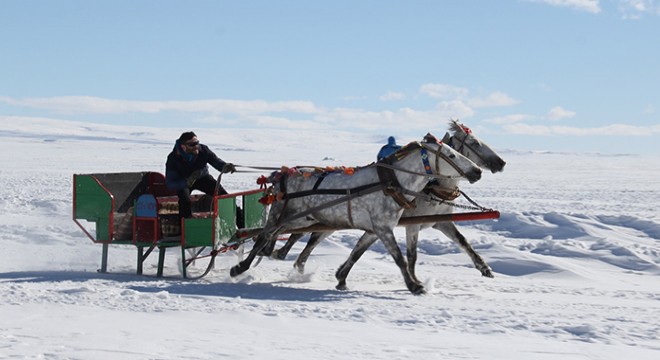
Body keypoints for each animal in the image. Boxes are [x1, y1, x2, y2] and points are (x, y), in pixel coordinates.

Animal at [229, 136, 482, 294]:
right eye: (451, 154)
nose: (478, 171)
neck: (391, 183)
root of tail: (282, 174)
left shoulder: (375, 229)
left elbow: (358, 252)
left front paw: (341, 278)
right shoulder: (383, 228)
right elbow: (399, 258)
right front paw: (414, 286)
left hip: (301, 219)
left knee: (274, 238)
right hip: (282, 215)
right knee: (263, 237)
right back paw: (239, 268)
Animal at [274, 121, 506, 284]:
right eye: (475, 143)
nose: (501, 162)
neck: (433, 187)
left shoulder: (440, 221)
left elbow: (463, 242)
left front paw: (485, 268)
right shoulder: (411, 225)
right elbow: (410, 255)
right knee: (305, 237)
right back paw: (284, 255)